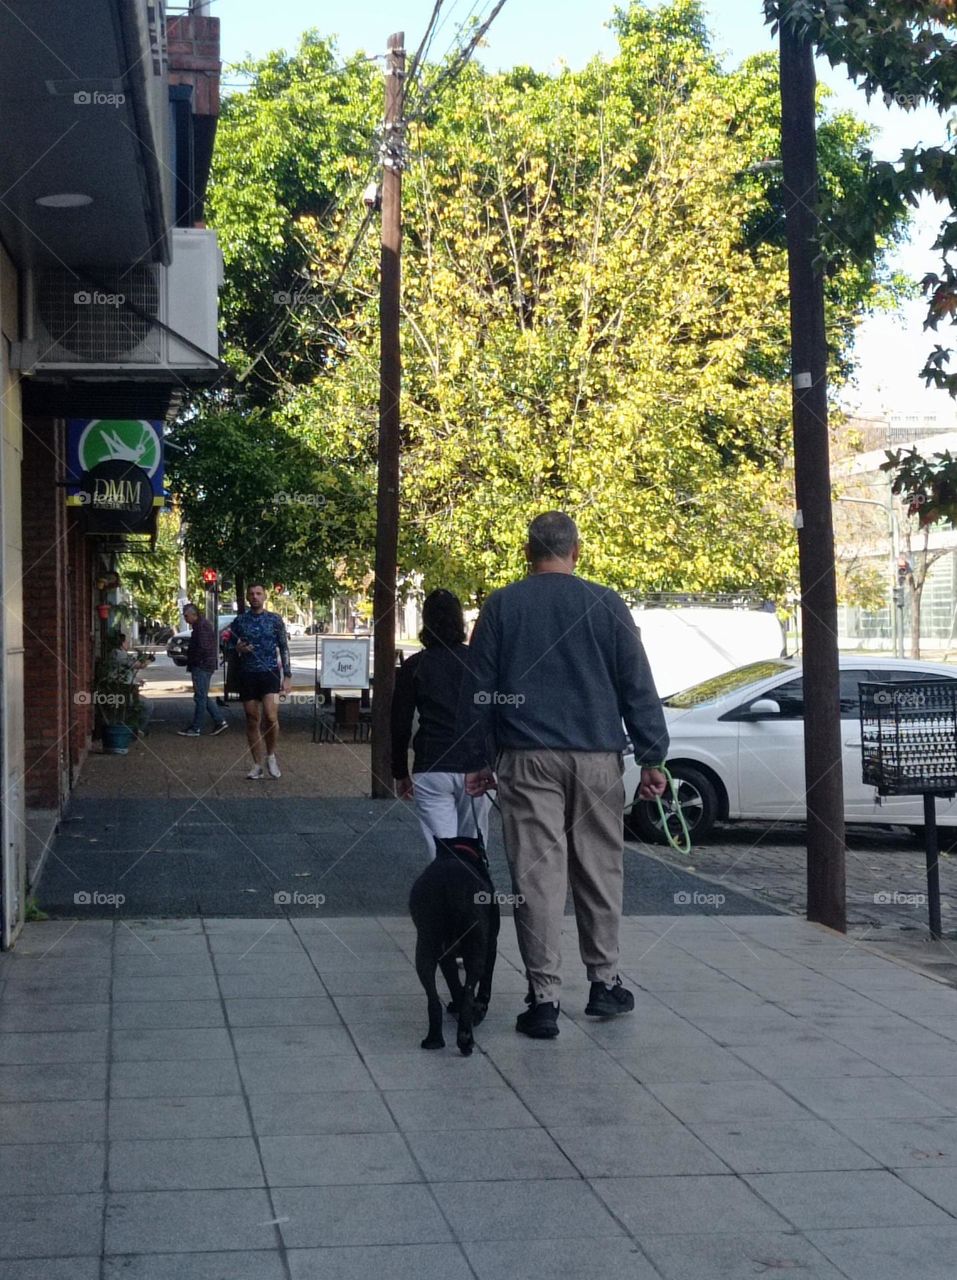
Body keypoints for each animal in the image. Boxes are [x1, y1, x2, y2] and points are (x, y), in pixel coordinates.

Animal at [409, 834, 504, 1054]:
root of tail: (448, 885)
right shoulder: (492, 944)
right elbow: (485, 981)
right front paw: (478, 1006)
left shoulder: (446, 955)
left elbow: (452, 979)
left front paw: (455, 1002)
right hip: (477, 947)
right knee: (470, 990)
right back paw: (466, 1035)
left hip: (426, 945)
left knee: (433, 997)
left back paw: (434, 1039)